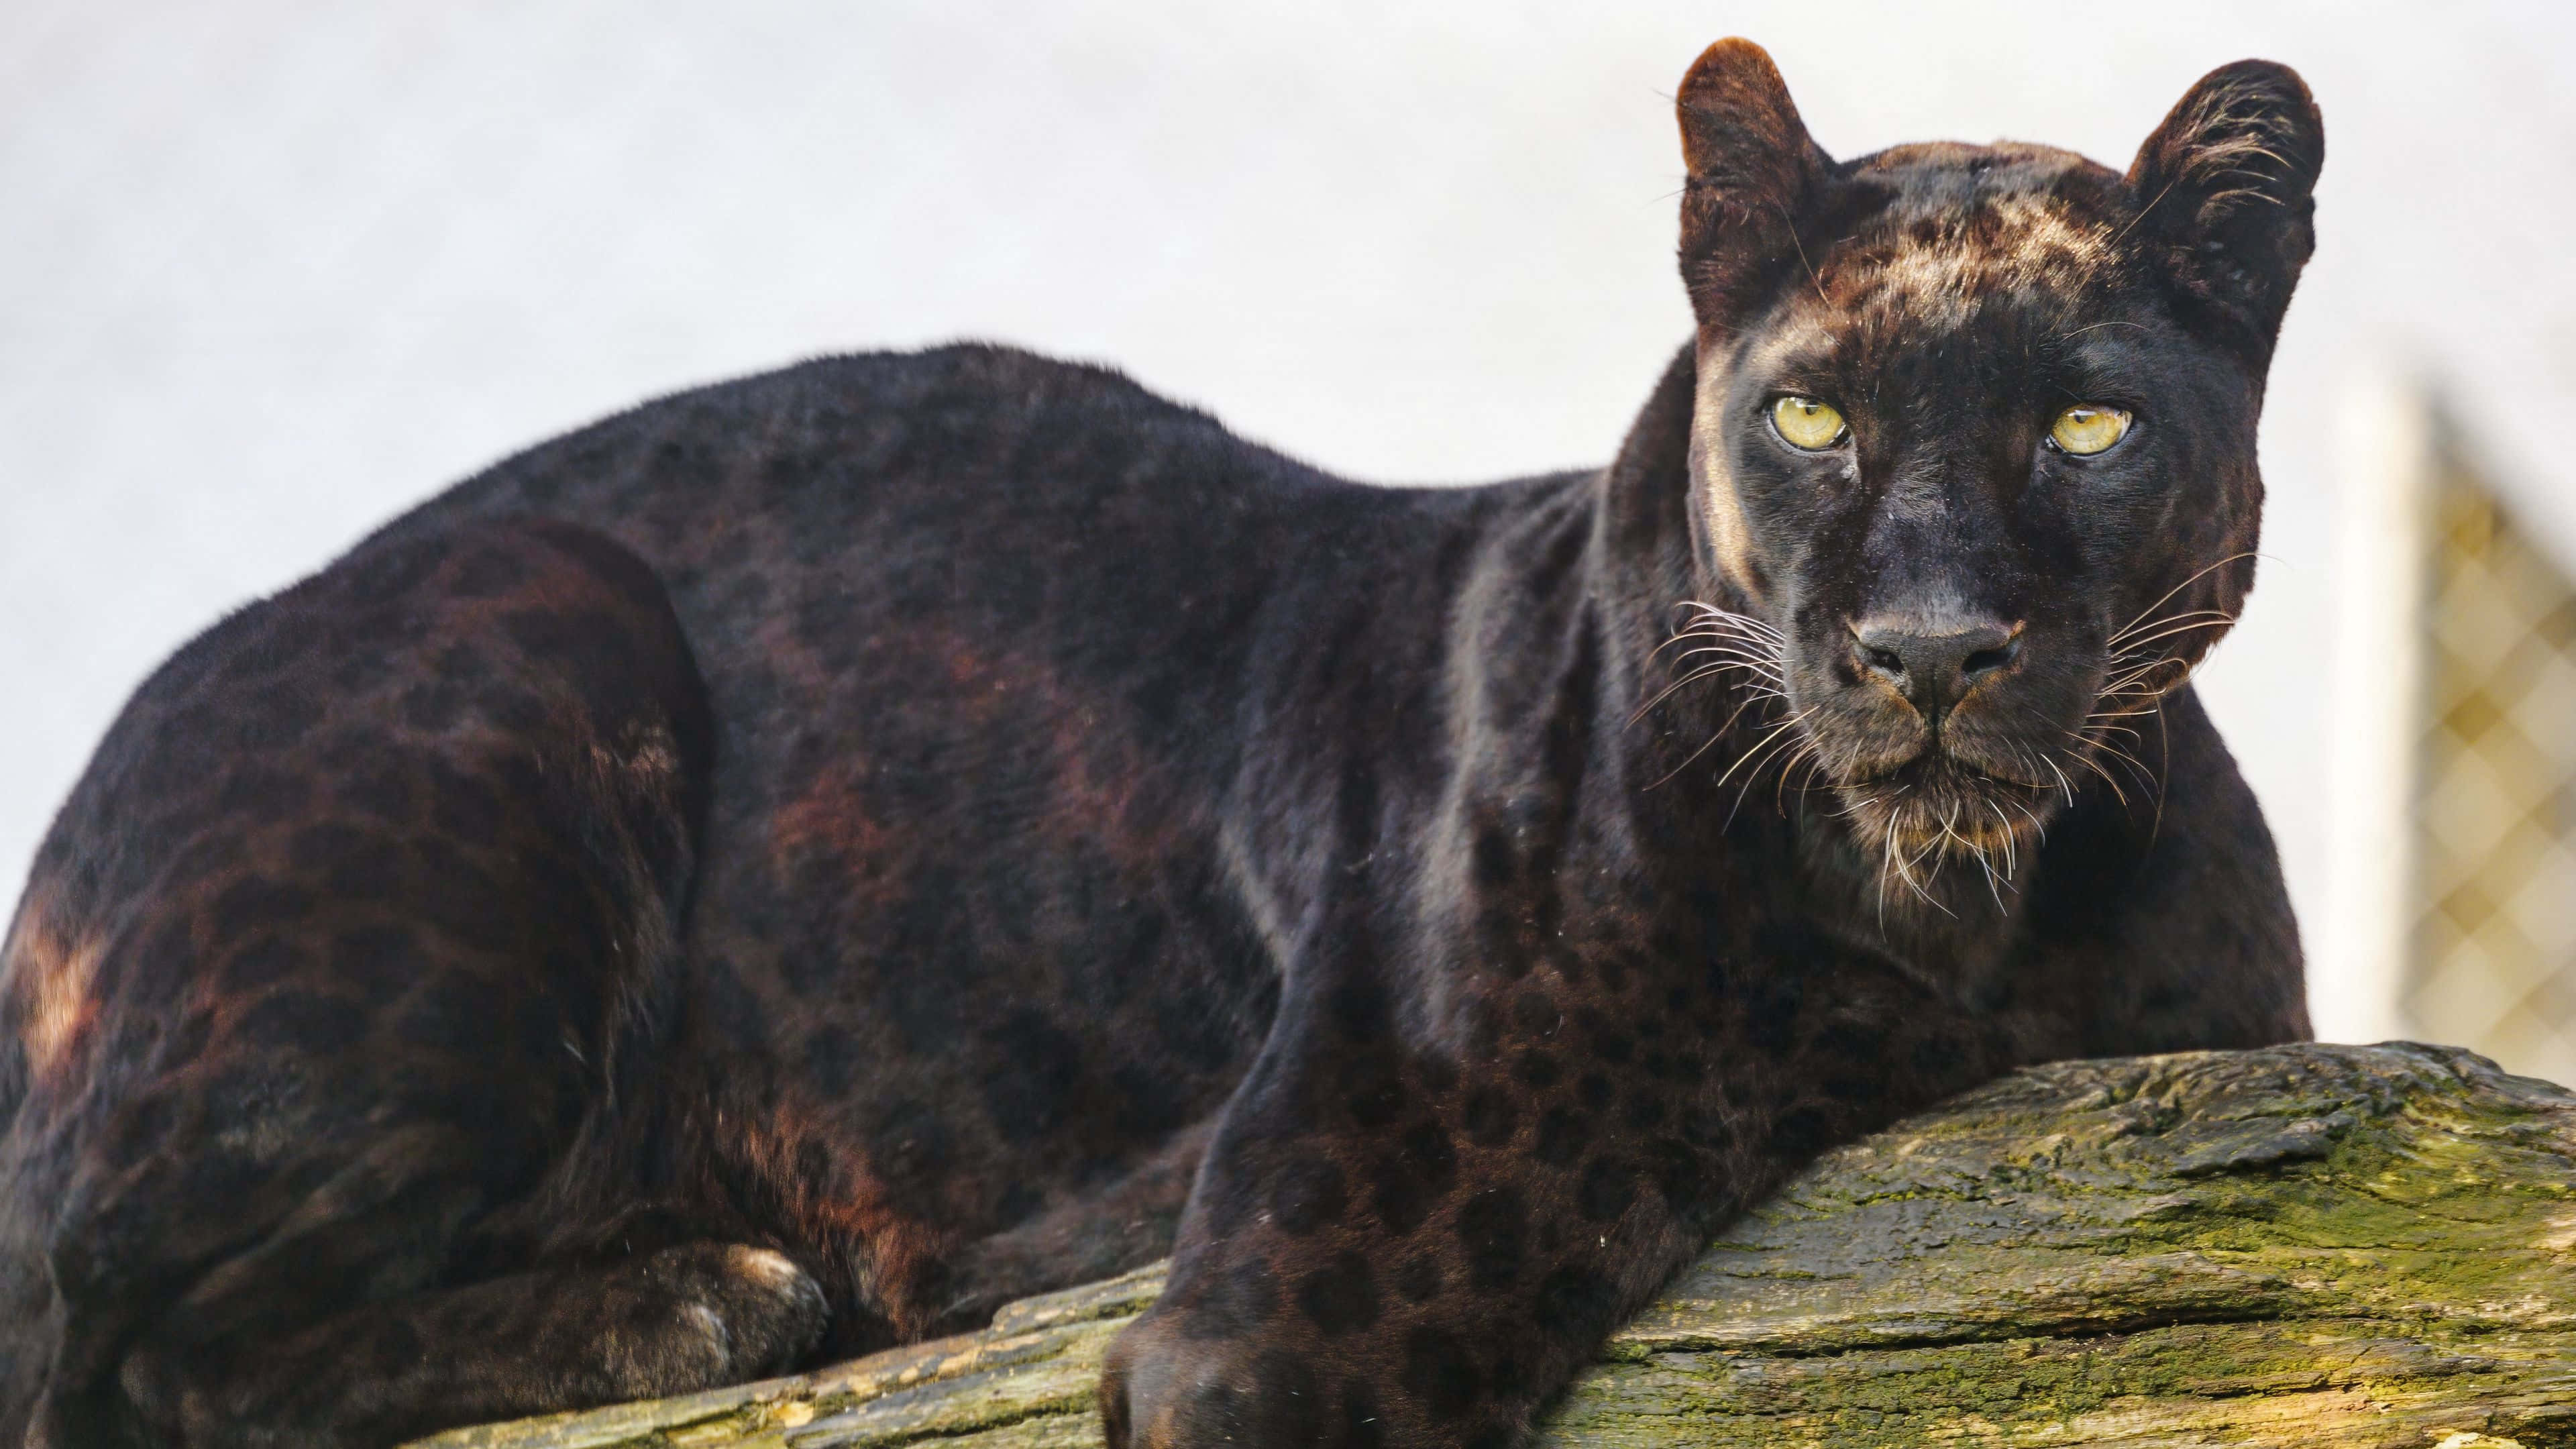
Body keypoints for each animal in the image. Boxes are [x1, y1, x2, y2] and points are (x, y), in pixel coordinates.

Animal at [0, 38, 2319, 1449]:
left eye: (2087, 424)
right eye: (1814, 415)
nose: (1927, 645)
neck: (1956, 920)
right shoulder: (1298, 1309)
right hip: (531, 639)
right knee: (114, 1345)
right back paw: (706, 1303)